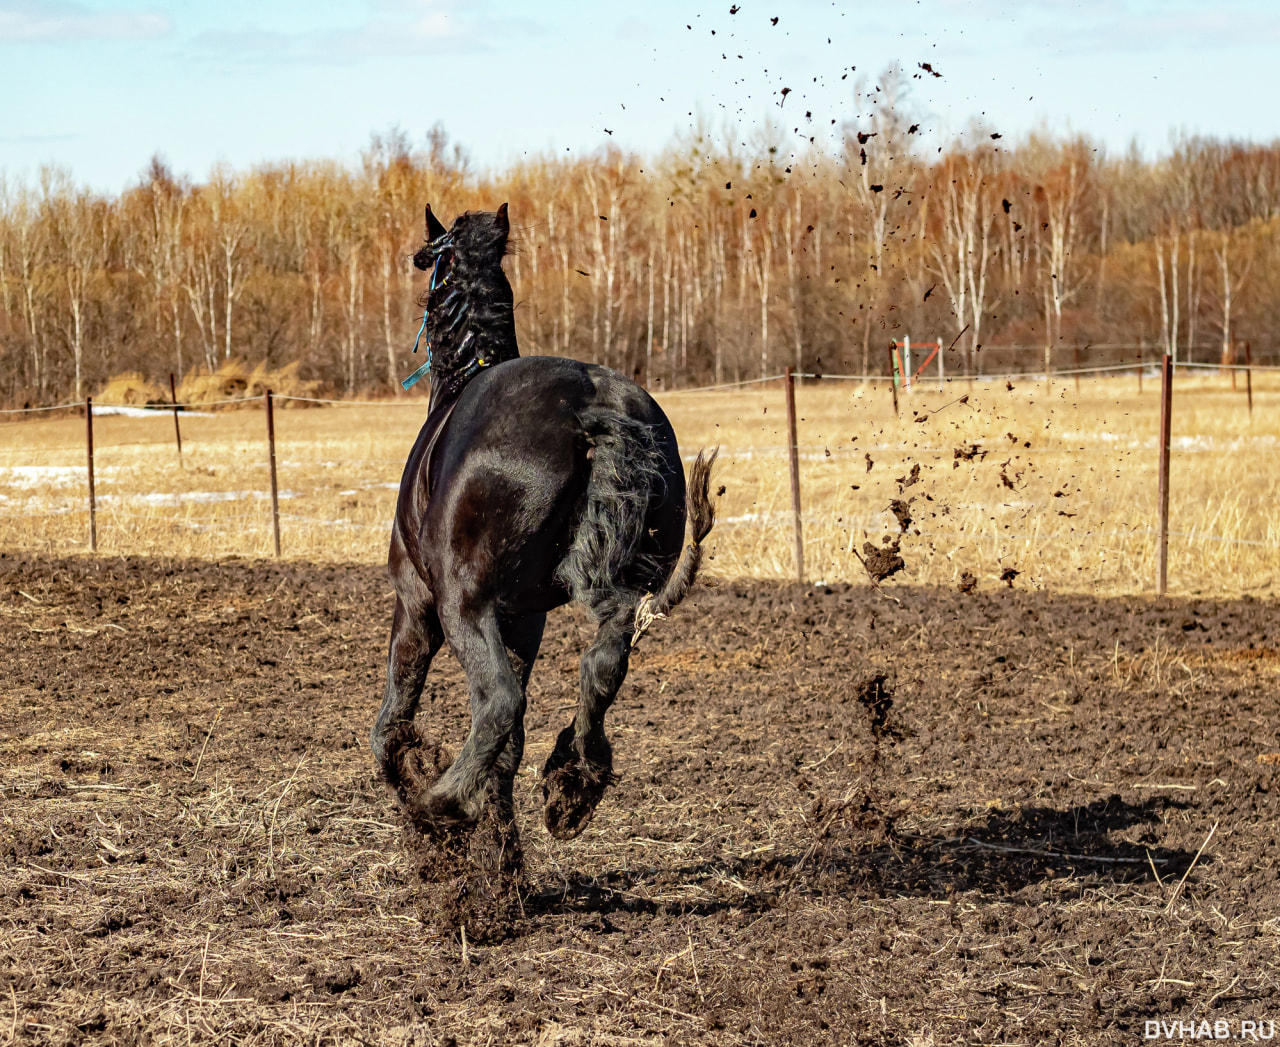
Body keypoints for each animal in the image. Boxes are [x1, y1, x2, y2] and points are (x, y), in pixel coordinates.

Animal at [371, 202, 716, 865]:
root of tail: (590, 408)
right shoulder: (524, 620)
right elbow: (510, 751)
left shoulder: (417, 602)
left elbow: (395, 717)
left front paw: (418, 785)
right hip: (617, 594)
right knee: (600, 669)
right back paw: (573, 784)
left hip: (460, 603)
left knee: (498, 702)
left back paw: (440, 803)